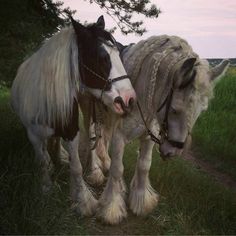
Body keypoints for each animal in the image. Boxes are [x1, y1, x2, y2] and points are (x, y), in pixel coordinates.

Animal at [11, 15, 136, 217]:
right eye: (102, 57)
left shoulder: (71, 130)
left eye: (118, 55)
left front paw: (83, 201)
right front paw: (46, 188)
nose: (129, 100)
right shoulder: (33, 135)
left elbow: (76, 167)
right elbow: (41, 161)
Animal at [80, 34, 230, 223]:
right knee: (92, 136)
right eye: (175, 109)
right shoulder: (120, 136)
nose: (173, 151)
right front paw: (111, 208)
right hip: (88, 108)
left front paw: (141, 201)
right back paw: (95, 172)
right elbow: (117, 168)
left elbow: (144, 165)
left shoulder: (148, 136)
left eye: (201, 111)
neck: (142, 96)